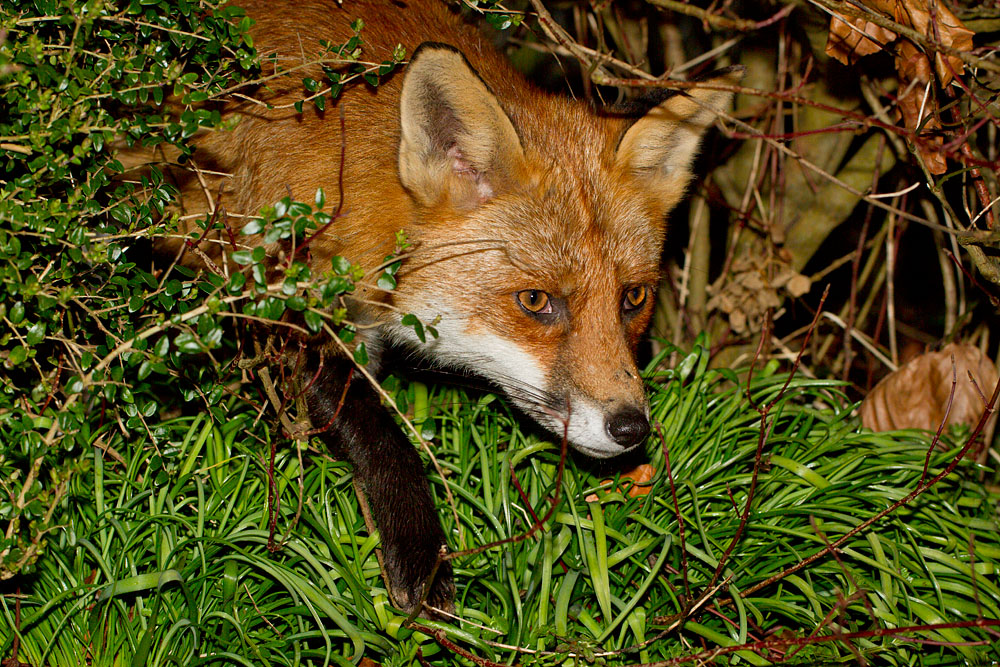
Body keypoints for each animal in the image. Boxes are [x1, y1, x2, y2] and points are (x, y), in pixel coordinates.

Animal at [129, 0, 739, 617]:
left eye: (632, 298)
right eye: (536, 301)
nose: (632, 428)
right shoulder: (284, 301)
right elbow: (379, 433)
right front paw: (420, 556)